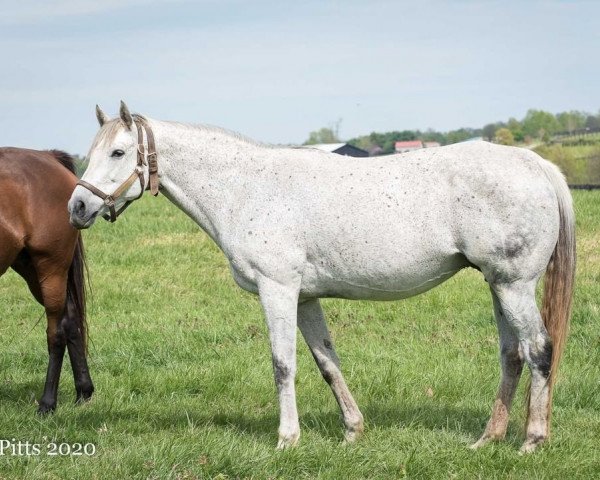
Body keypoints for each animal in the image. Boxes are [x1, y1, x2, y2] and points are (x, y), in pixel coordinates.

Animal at [0, 147, 94, 412]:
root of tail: (48, 156)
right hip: (30, 267)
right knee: (71, 320)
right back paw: (83, 392)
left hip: (50, 268)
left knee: (56, 333)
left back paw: (47, 404)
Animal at [68, 102, 576, 454]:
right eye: (90, 153)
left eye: (118, 152)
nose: (77, 206)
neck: (247, 188)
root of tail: (536, 164)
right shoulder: (306, 298)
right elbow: (326, 362)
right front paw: (352, 431)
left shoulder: (277, 290)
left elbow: (283, 364)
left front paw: (287, 440)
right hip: (498, 285)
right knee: (512, 355)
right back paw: (488, 439)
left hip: (513, 285)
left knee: (539, 350)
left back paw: (532, 440)